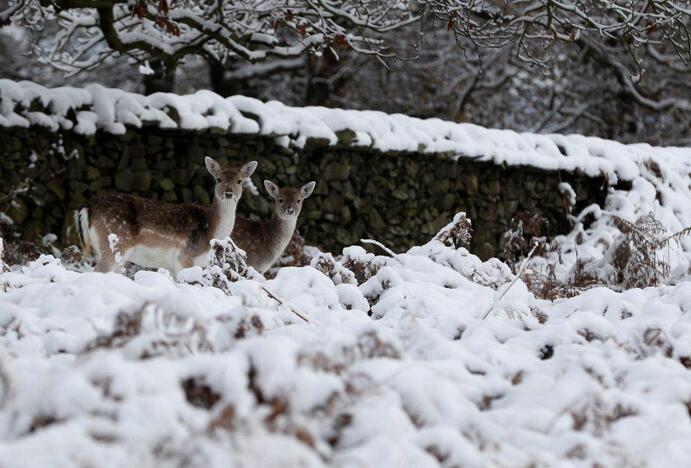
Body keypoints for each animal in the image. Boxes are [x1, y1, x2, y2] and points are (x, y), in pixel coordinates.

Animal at [75, 157, 258, 274]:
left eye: (239, 181)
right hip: (115, 243)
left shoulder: (172, 265)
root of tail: (87, 207)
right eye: (218, 179)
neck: (211, 232)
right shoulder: (185, 257)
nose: (228, 193)